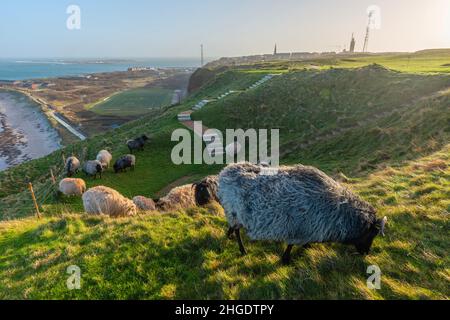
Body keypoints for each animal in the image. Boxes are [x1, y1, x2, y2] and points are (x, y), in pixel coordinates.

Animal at [218, 162, 386, 264]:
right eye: (371, 235)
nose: (366, 253)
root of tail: (226, 170)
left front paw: (306, 247)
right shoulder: (297, 228)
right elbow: (290, 245)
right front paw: (286, 259)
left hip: (234, 214)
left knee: (232, 228)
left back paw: (229, 236)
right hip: (234, 212)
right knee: (238, 231)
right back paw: (242, 250)